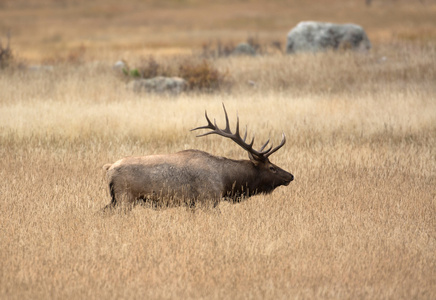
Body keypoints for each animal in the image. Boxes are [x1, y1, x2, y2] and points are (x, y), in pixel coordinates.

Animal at [102, 104, 292, 210]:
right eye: (271, 168)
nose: (291, 175)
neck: (226, 180)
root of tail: (109, 168)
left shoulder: (192, 204)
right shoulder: (209, 199)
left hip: (115, 199)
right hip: (125, 198)